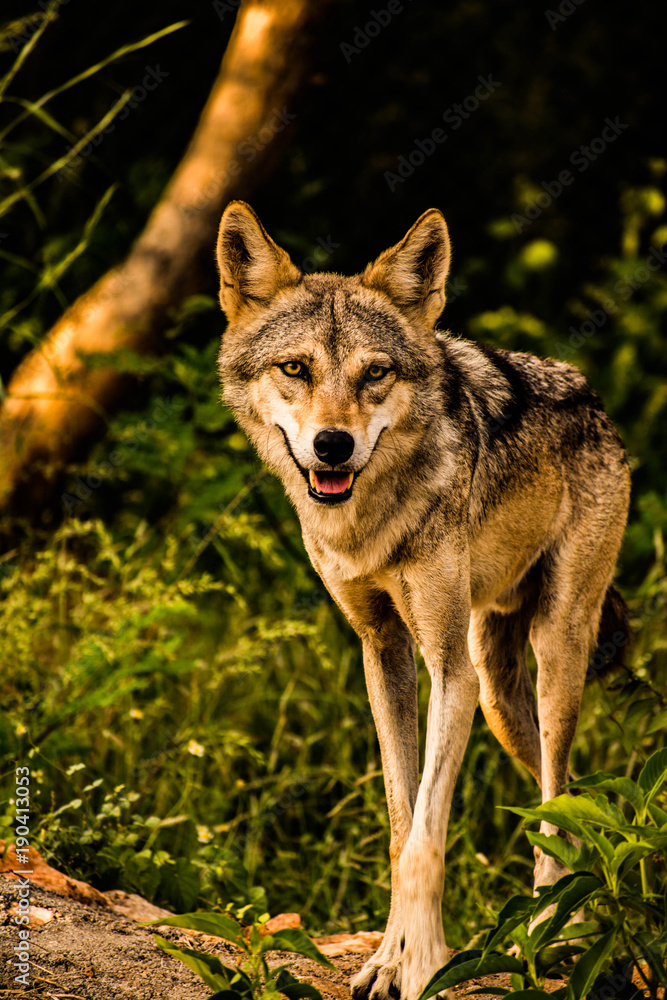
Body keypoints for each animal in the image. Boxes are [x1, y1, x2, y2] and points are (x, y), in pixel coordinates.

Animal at [215, 202, 630, 1000]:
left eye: (375, 373)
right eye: (295, 368)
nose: (333, 445)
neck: (369, 523)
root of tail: (593, 397)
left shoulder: (447, 669)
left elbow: (425, 840)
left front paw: (424, 965)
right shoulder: (383, 653)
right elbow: (399, 820)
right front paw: (387, 958)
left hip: (549, 653)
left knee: (557, 806)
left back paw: (543, 941)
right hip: (498, 694)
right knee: (564, 799)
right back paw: (576, 927)